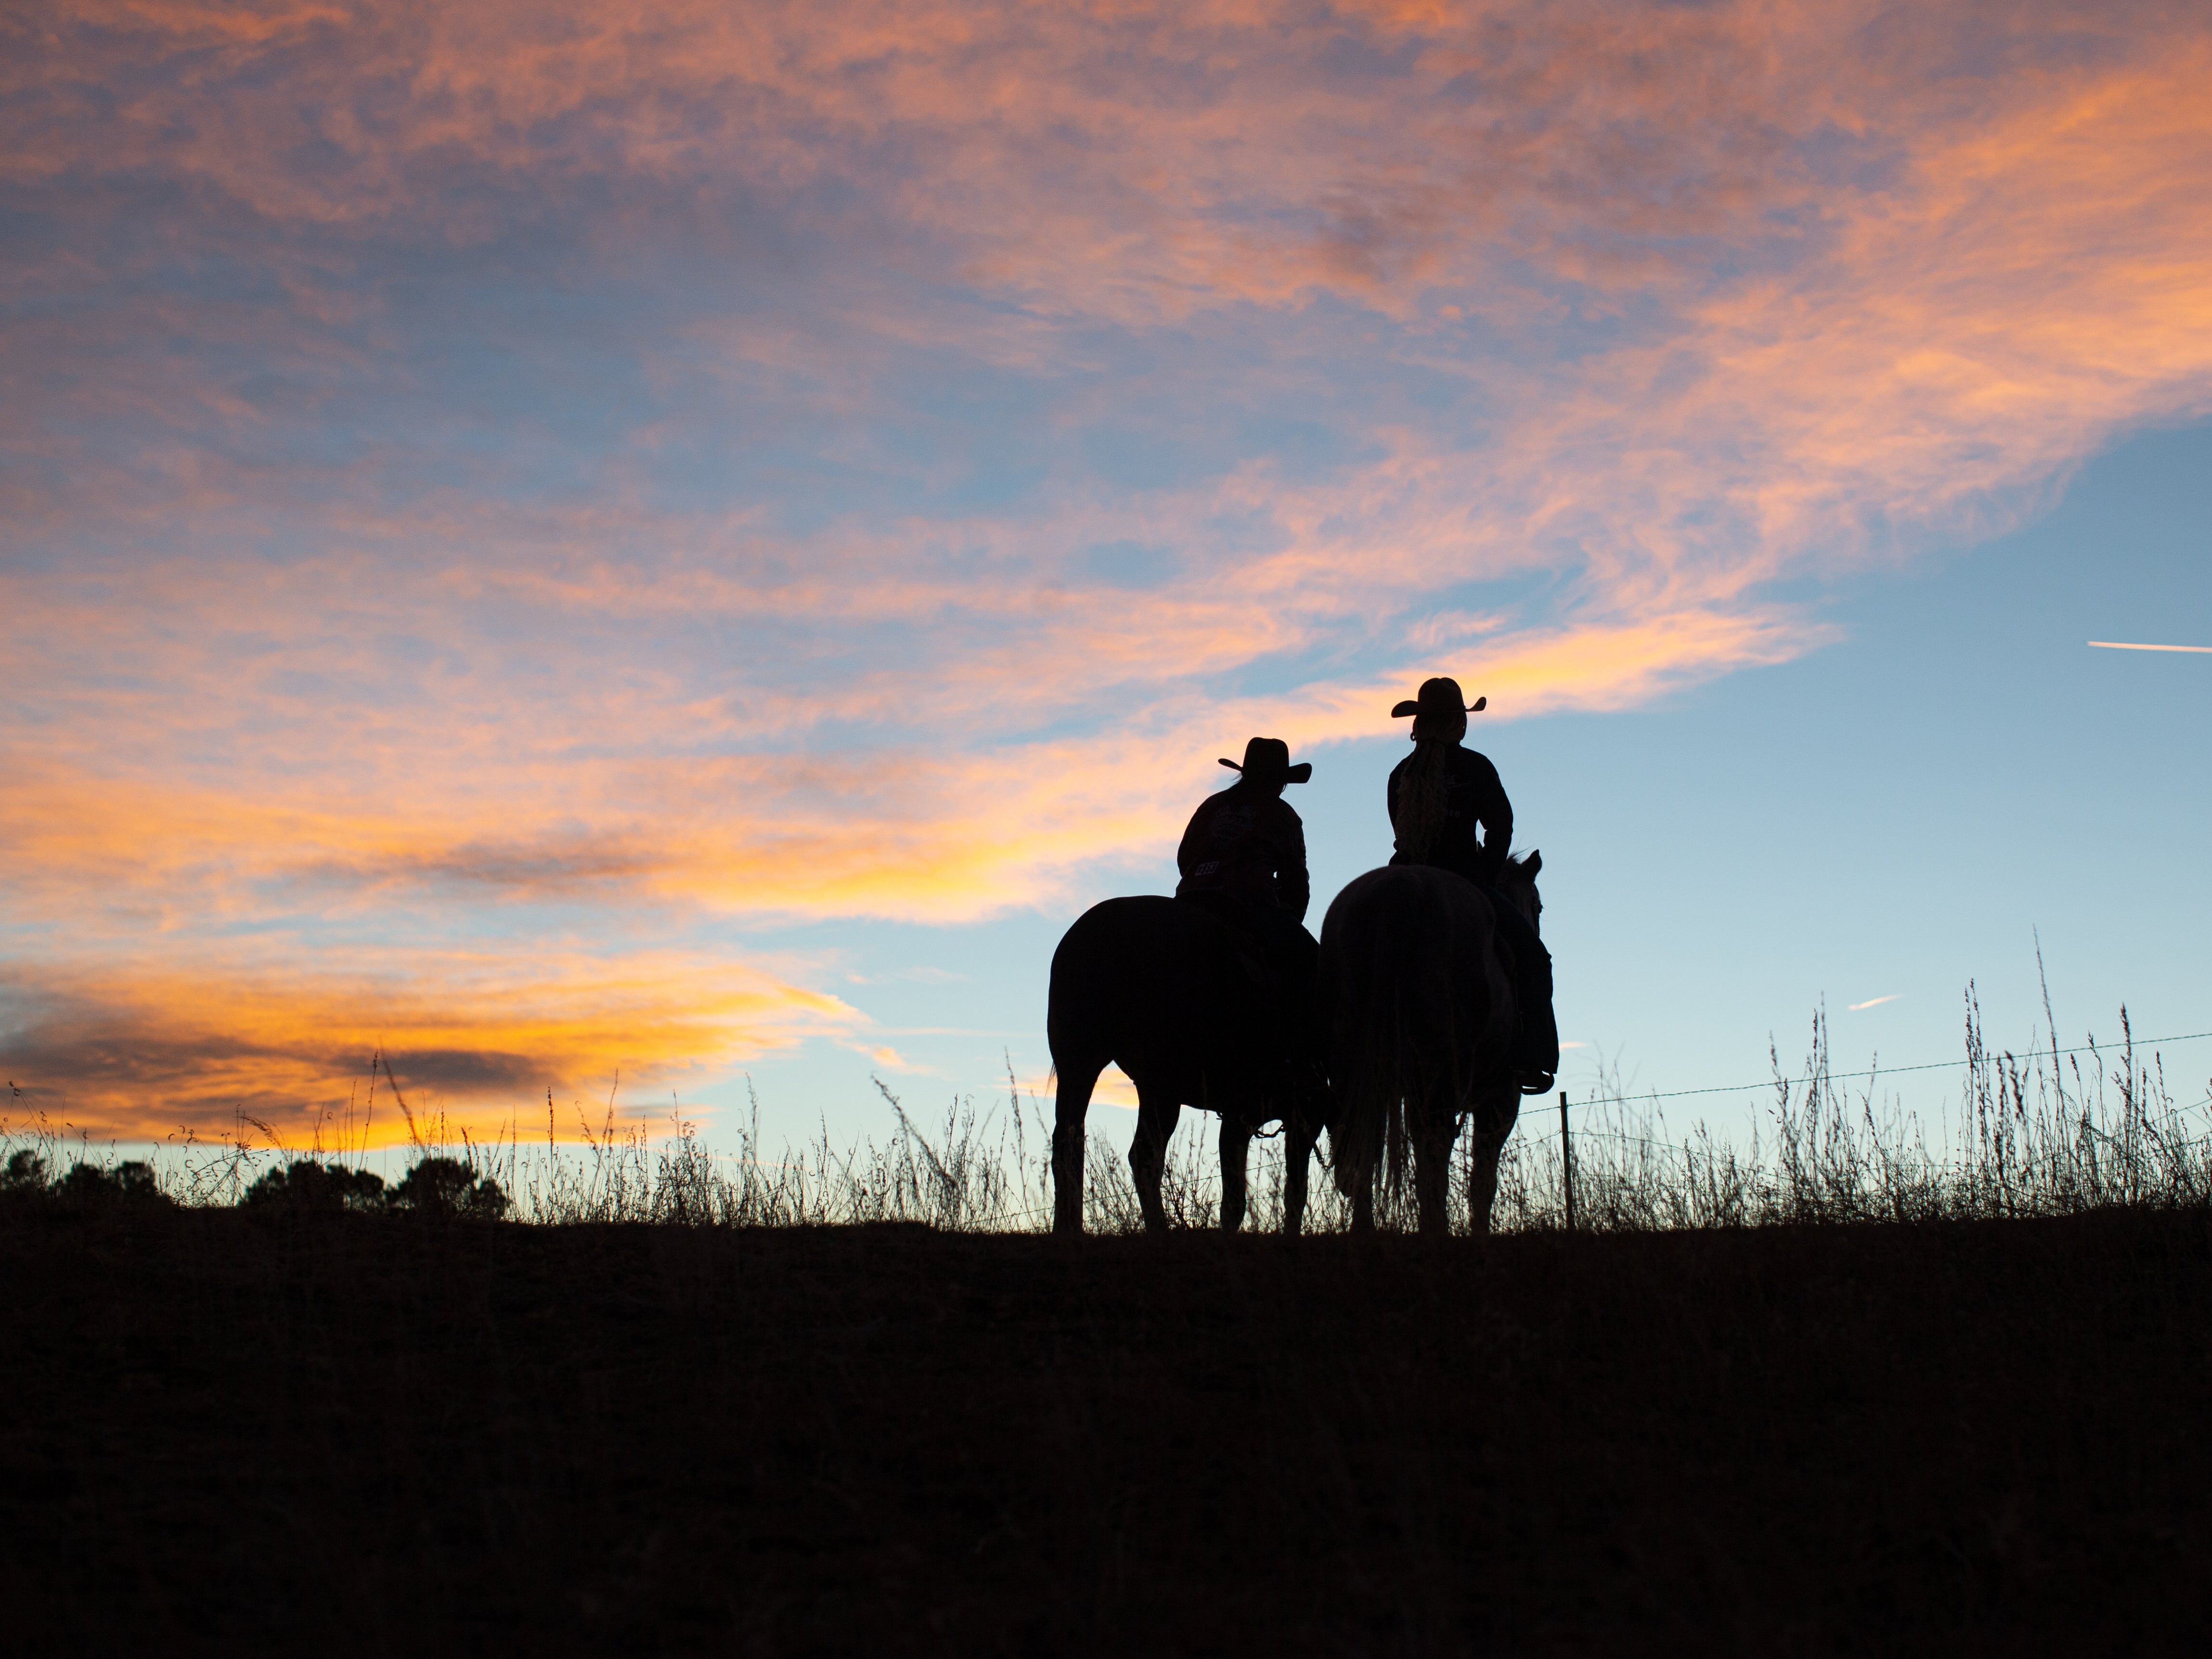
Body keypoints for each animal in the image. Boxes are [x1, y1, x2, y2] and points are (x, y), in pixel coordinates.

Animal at [1044, 898, 1318, 1239]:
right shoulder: (1300, 1116)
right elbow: (1287, 1193)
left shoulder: (1241, 1119)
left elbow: (1239, 1199)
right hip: (1160, 1085)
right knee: (1143, 1156)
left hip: (1083, 1068)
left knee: (1070, 1144)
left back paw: (1068, 1231)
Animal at [1318, 858, 1548, 1239]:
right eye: (1538, 904)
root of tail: (1396, 889)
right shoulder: (1502, 1098)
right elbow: (1482, 1181)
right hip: (1442, 1075)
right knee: (1434, 1148)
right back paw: (1434, 1230)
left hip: (1349, 1071)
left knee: (1362, 1143)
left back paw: (1365, 1229)